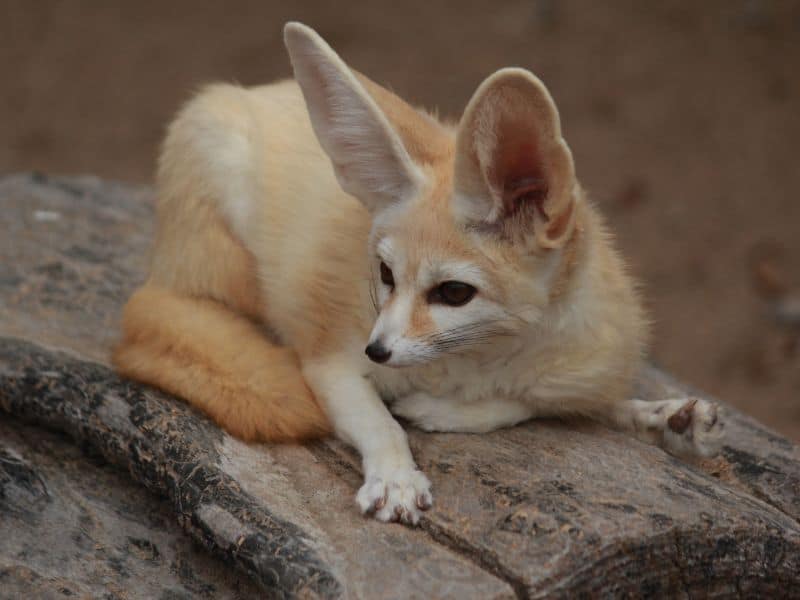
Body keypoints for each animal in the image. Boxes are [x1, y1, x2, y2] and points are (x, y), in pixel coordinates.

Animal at [114, 22, 725, 525]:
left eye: (454, 292)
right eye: (384, 273)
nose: (377, 351)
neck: (478, 359)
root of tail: (257, 90)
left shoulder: (585, 369)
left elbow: (545, 403)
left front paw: (659, 415)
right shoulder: (331, 362)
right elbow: (379, 421)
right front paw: (396, 473)